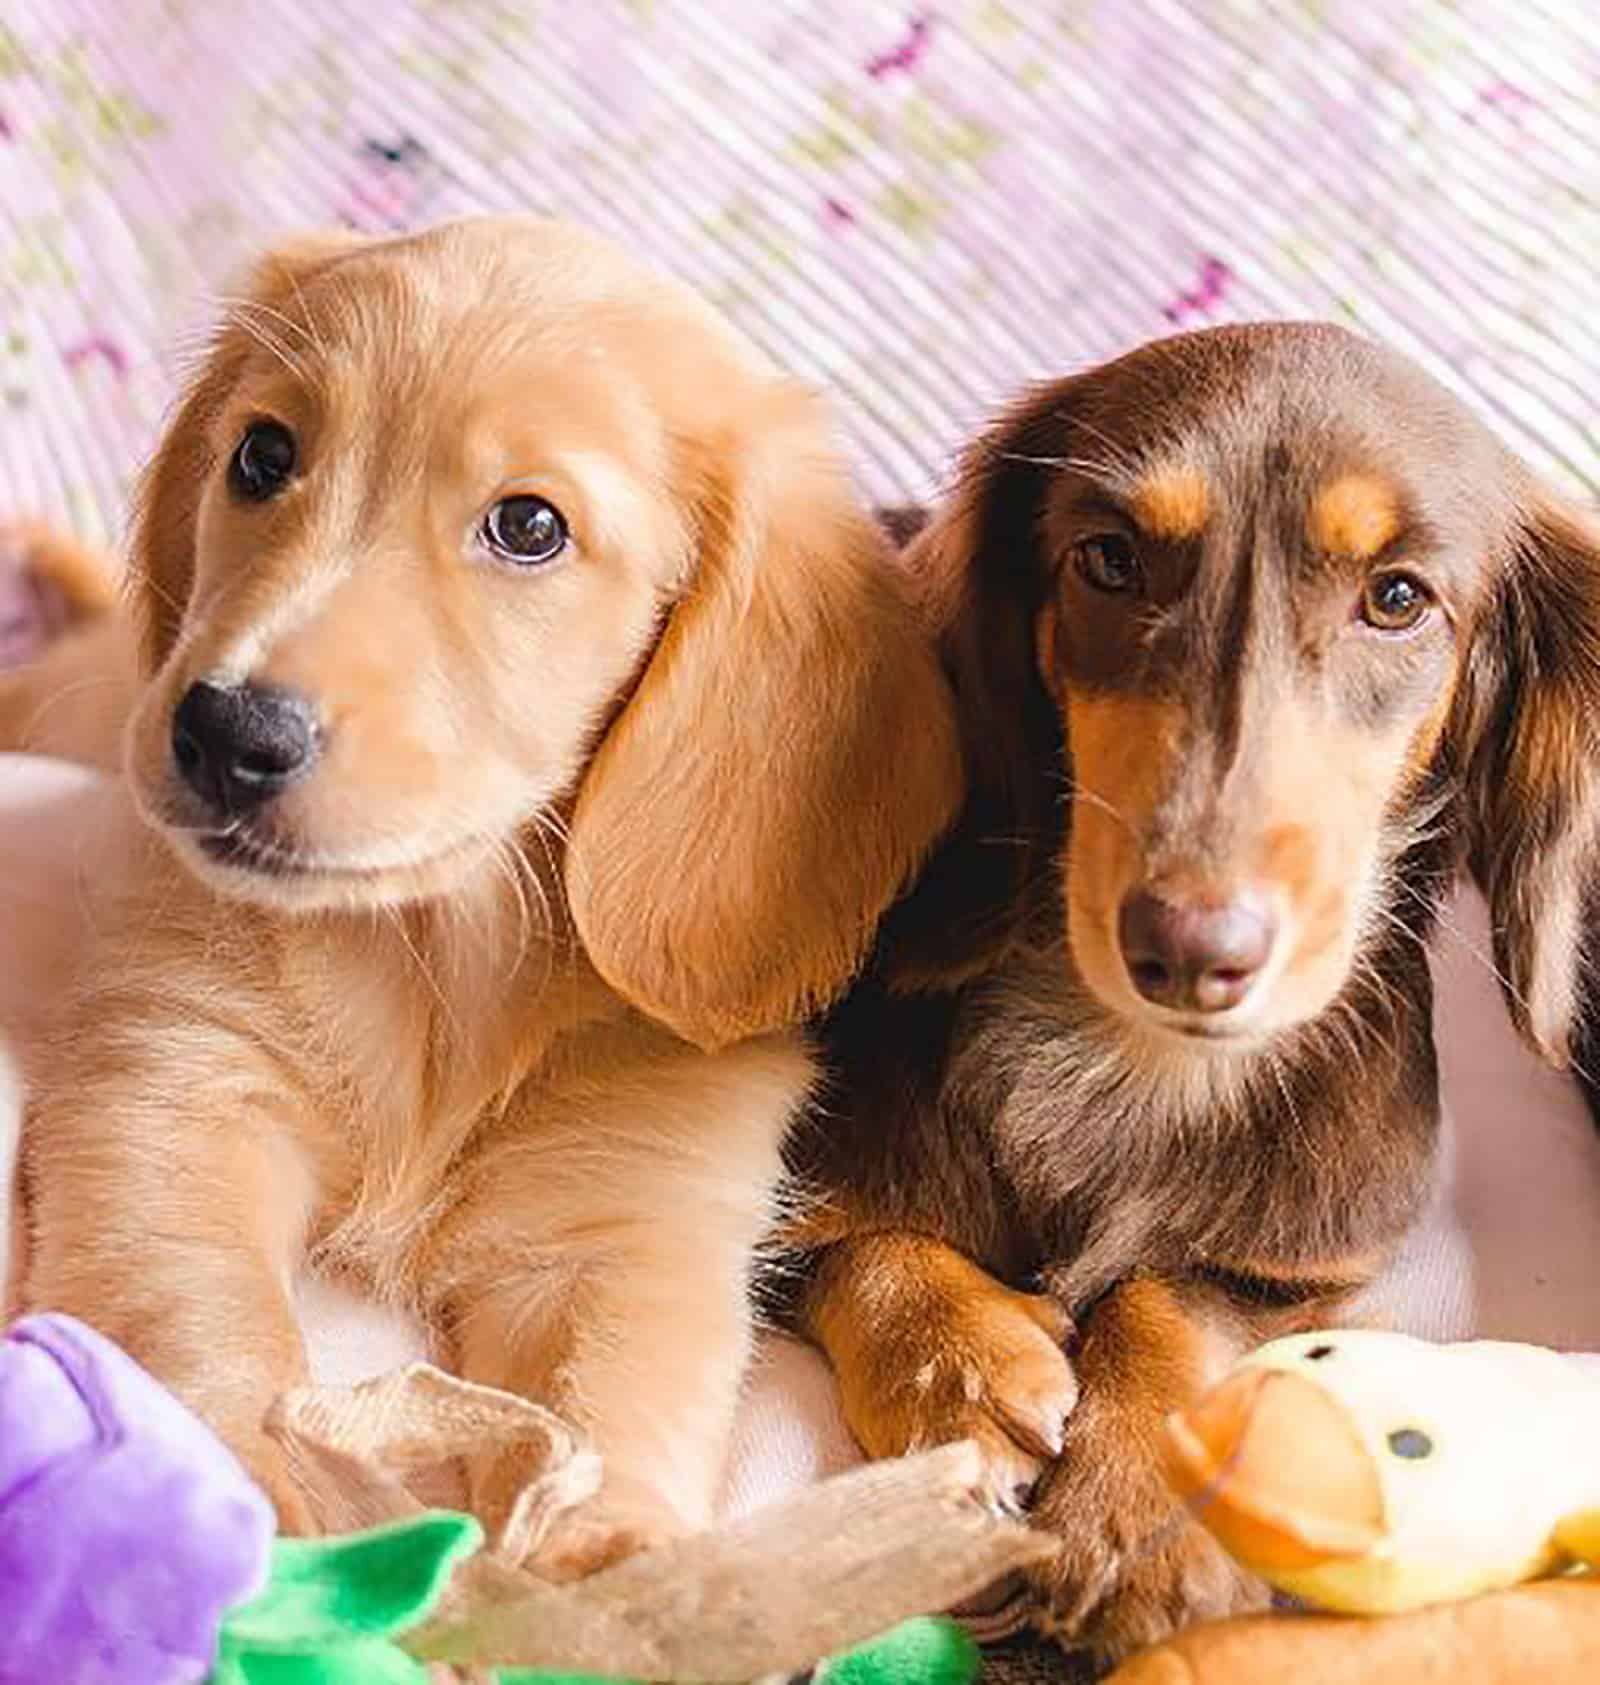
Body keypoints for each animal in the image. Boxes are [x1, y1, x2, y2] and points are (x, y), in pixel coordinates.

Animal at [9, 217, 963, 1570]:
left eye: (526, 525)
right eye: (263, 453)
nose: (226, 733)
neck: (435, 958)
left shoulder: (625, 1235)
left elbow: (603, 1415)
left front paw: (601, 1569)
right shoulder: (179, 1089)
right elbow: (194, 1311)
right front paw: (253, 1503)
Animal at [781, 325, 1600, 1658]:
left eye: (1397, 598)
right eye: (1109, 558)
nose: (1185, 947)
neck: (1127, 1054)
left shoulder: (1307, 1262)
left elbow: (1173, 1295)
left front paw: (1141, 1510)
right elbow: (855, 1238)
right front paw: (953, 1374)